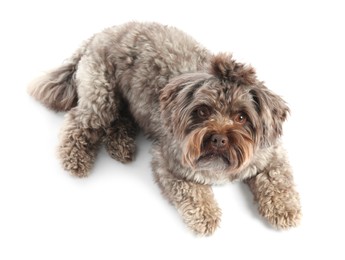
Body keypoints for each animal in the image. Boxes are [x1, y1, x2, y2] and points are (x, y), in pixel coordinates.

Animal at [28, 21, 298, 235]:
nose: (219, 139)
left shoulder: (270, 155)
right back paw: (75, 158)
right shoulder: (170, 164)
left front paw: (285, 209)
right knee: (79, 121)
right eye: (203, 111)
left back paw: (121, 146)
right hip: (101, 96)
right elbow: (192, 192)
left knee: (119, 121)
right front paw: (207, 216)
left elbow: (278, 181)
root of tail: (100, 34)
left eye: (241, 117)